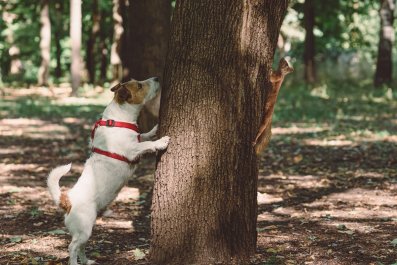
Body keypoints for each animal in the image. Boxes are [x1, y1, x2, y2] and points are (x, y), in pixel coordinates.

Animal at [46, 77, 169, 264]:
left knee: (81, 246)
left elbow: (144, 136)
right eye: (139, 85)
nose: (156, 78)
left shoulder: (137, 140)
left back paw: (87, 261)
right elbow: (147, 144)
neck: (118, 121)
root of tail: (67, 200)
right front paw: (161, 141)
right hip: (84, 228)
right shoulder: (132, 150)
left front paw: (154, 130)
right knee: (72, 247)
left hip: (88, 228)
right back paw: (75, 262)